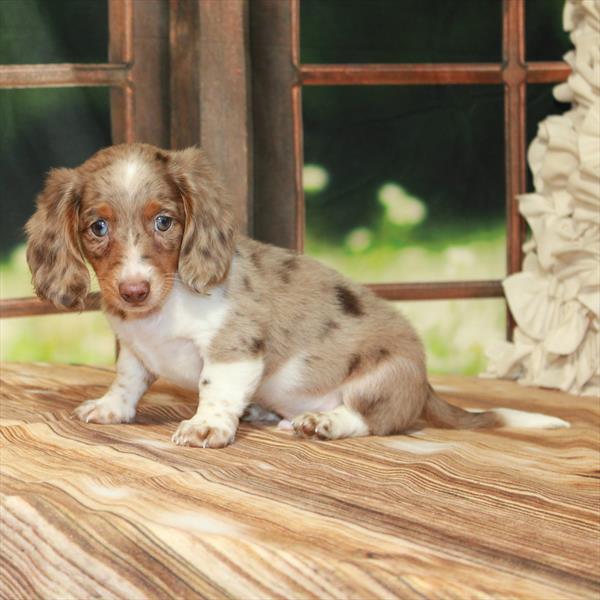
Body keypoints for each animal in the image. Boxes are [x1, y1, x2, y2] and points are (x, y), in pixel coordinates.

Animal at [24, 144, 568, 446]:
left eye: (164, 221)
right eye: (97, 227)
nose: (134, 291)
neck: (165, 306)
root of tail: (425, 387)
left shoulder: (235, 350)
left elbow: (213, 389)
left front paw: (206, 426)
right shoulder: (136, 351)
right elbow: (128, 381)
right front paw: (111, 408)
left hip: (381, 380)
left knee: (372, 420)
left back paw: (322, 422)